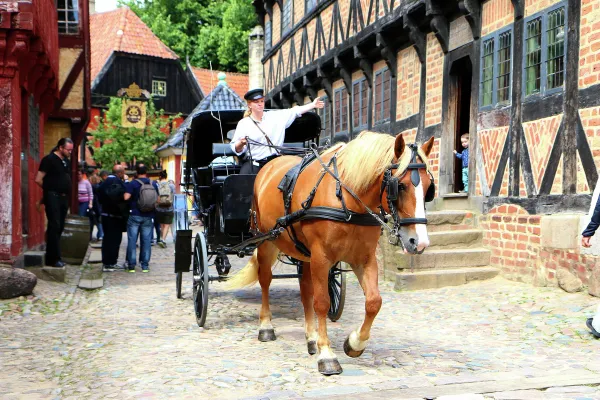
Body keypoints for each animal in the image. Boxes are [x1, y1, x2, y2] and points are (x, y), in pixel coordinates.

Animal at [227, 131, 434, 376]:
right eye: (400, 186)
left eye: (429, 187)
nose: (419, 242)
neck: (348, 199)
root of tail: (270, 165)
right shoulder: (322, 257)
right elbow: (323, 303)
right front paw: (326, 353)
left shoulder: (363, 258)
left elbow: (374, 301)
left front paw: (354, 343)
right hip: (267, 241)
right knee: (266, 280)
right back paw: (266, 326)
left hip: (304, 254)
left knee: (305, 288)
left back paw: (311, 337)